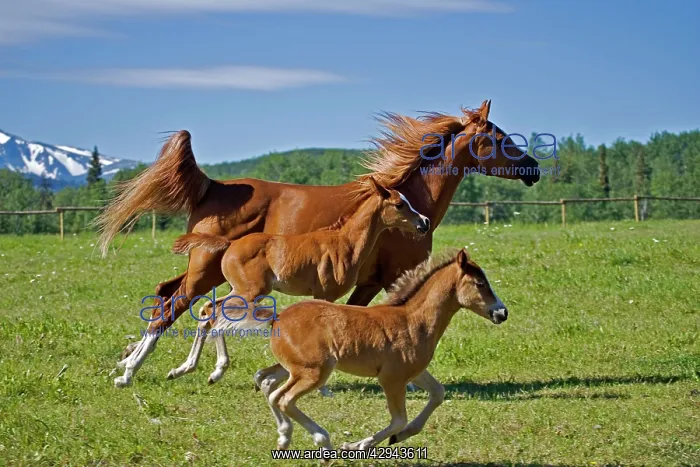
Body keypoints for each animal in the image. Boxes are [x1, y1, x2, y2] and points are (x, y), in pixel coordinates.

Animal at [128, 177, 430, 387]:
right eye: (400, 204)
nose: (424, 222)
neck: (344, 242)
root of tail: (229, 244)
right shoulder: (325, 294)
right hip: (250, 291)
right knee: (212, 312)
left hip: (242, 291)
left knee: (207, 310)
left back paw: (189, 369)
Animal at [244, 248, 507, 452]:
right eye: (480, 283)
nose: (502, 313)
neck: (414, 320)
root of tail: (278, 318)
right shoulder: (392, 378)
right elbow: (399, 419)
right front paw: (357, 445)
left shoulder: (414, 372)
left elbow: (438, 393)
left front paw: (400, 436)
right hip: (314, 371)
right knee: (284, 398)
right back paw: (323, 441)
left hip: (295, 368)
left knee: (270, 386)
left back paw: (284, 437)